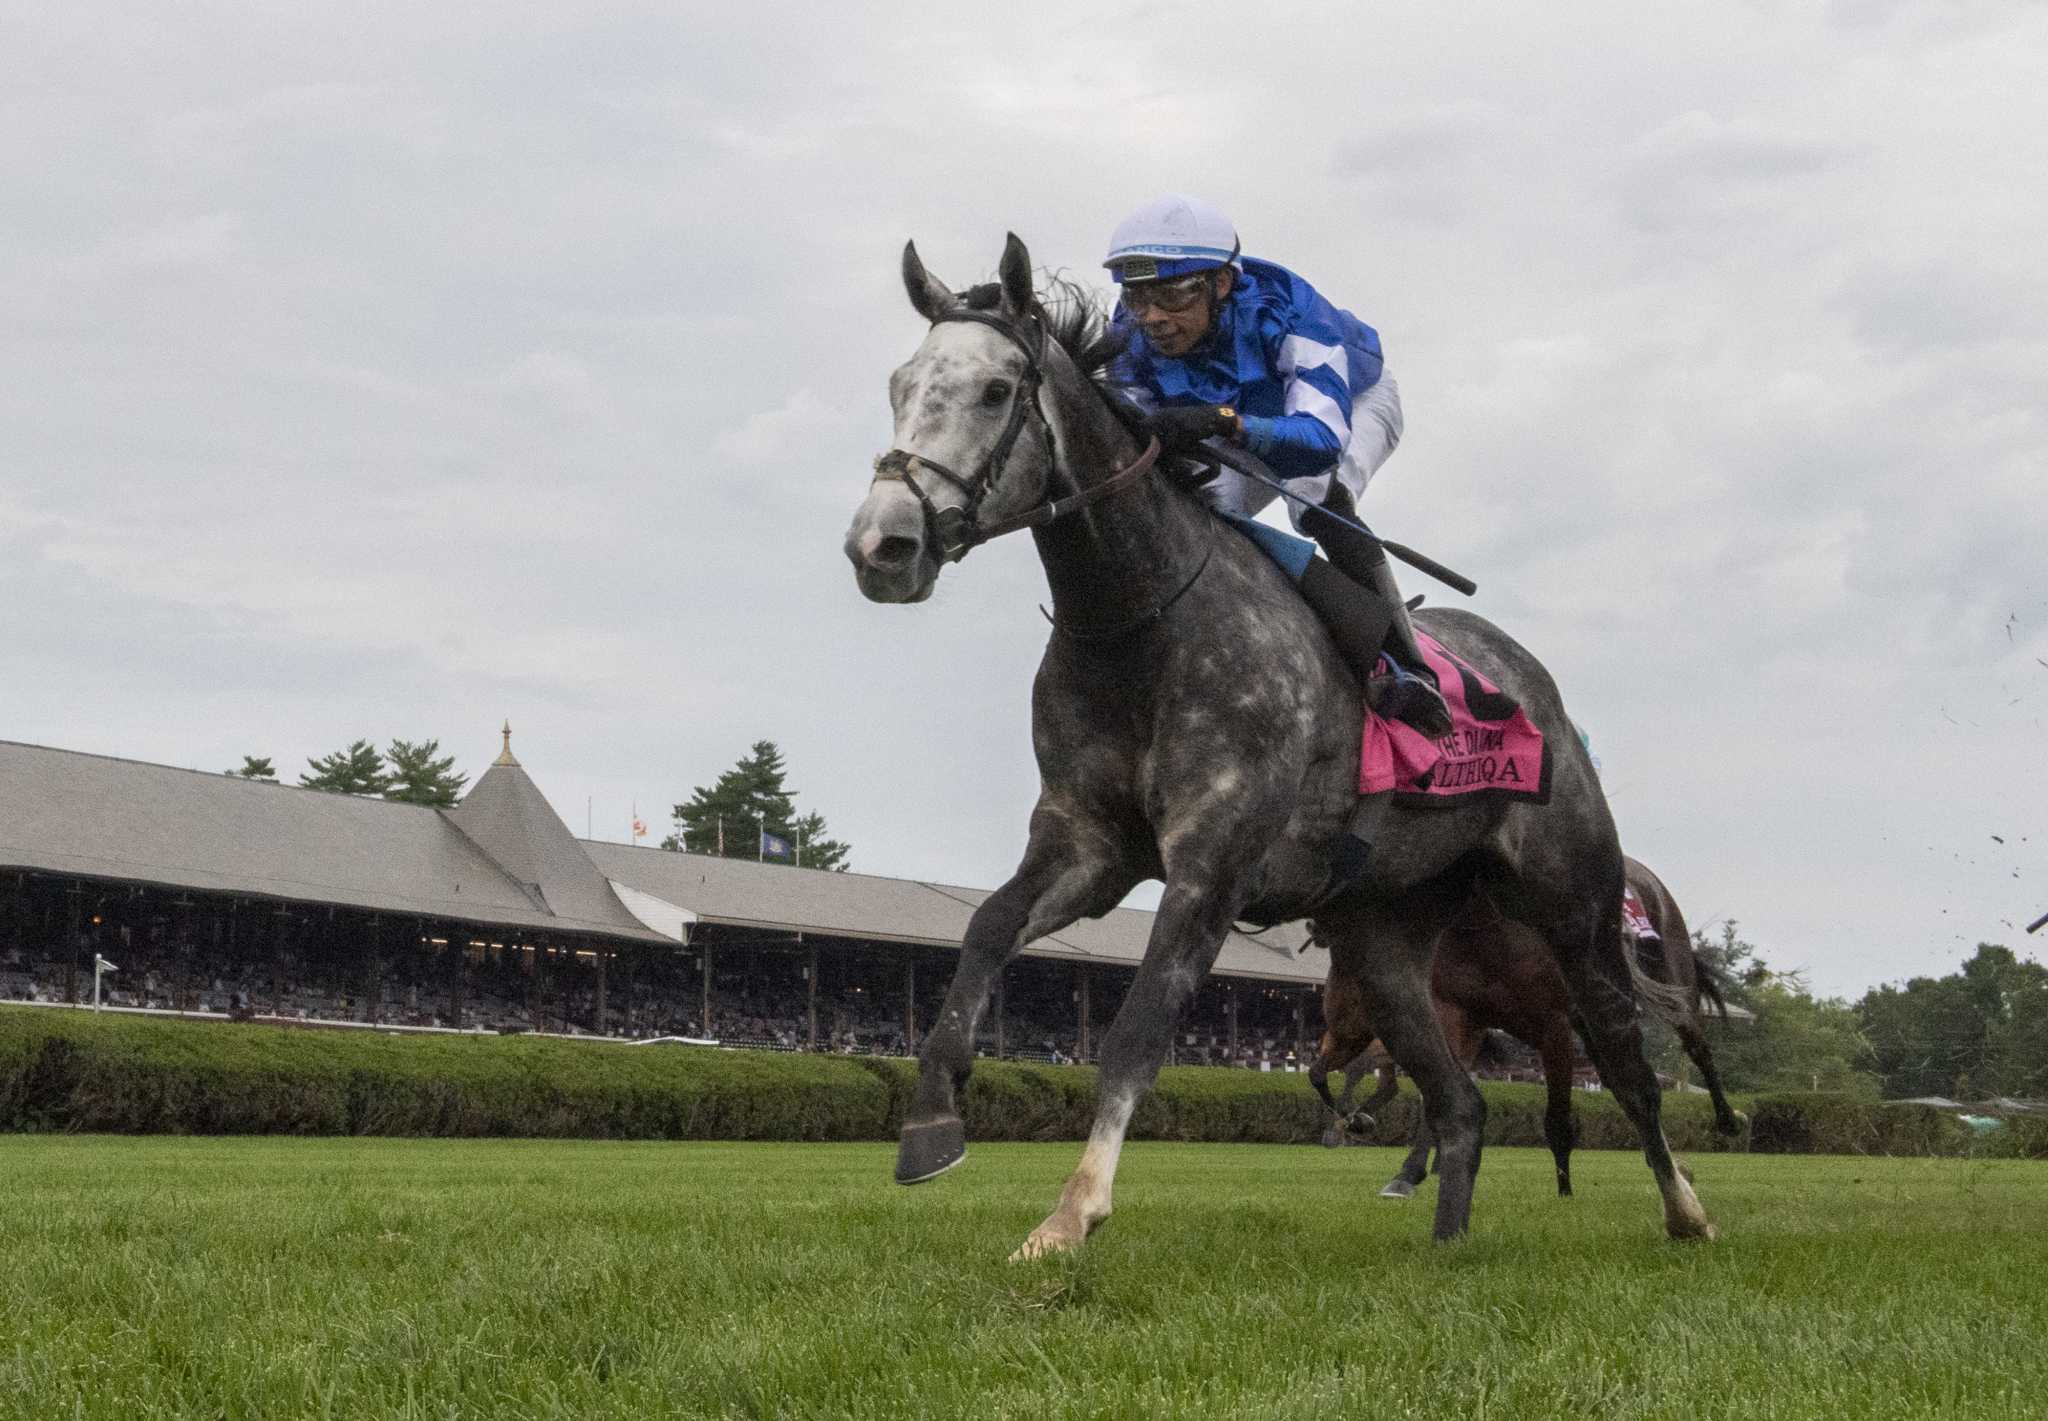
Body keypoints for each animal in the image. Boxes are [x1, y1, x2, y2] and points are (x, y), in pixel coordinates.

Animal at [1302, 855, 1736, 1203]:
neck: (1489, 924)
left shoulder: (1553, 1027)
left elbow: (1557, 1121)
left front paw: (1564, 1190)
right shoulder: (1459, 1018)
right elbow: (1436, 1101)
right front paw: (1406, 1174)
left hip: (1671, 975)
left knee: (1696, 1047)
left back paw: (1727, 1122)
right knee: (1619, 1078)